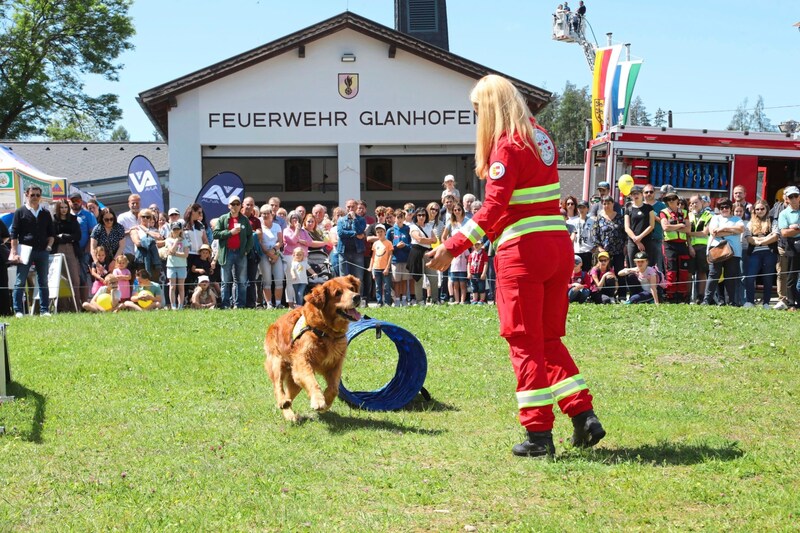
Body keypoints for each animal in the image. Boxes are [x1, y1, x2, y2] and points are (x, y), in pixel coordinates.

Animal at [264, 274, 360, 420]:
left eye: (352, 288)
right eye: (338, 293)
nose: (357, 297)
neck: (326, 331)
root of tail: (275, 323)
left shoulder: (335, 364)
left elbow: (334, 388)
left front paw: (326, 402)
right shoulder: (302, 362)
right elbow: (312, 381)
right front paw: (318, 400)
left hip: (294, 379)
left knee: (289, 395)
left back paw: (289, 413)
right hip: (277, 362)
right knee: (278, 386)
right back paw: (283, 402)